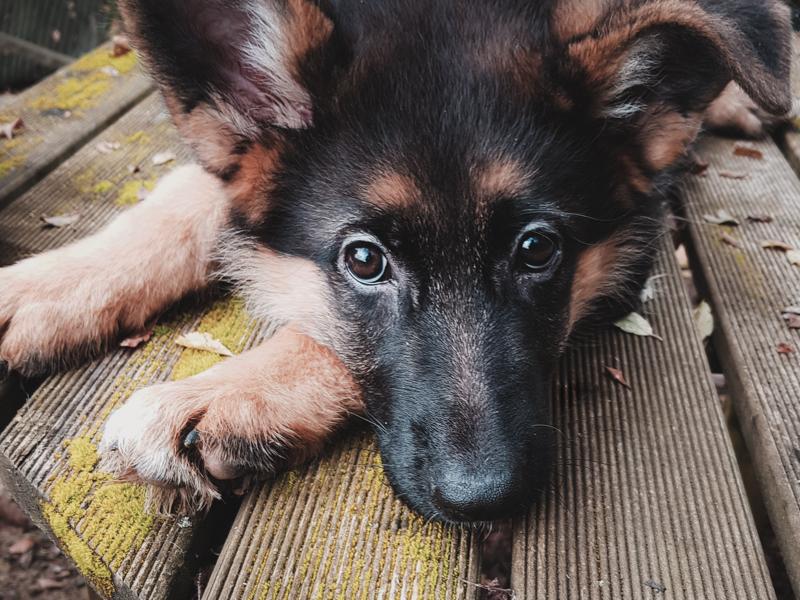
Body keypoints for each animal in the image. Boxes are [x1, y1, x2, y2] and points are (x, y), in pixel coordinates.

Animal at [0, 0, 792, 524]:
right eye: (363, 260)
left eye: (538, 250)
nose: (484, 502)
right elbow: (180, 202)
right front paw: (43, 288)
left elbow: (319, 339)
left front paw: (228, 391)